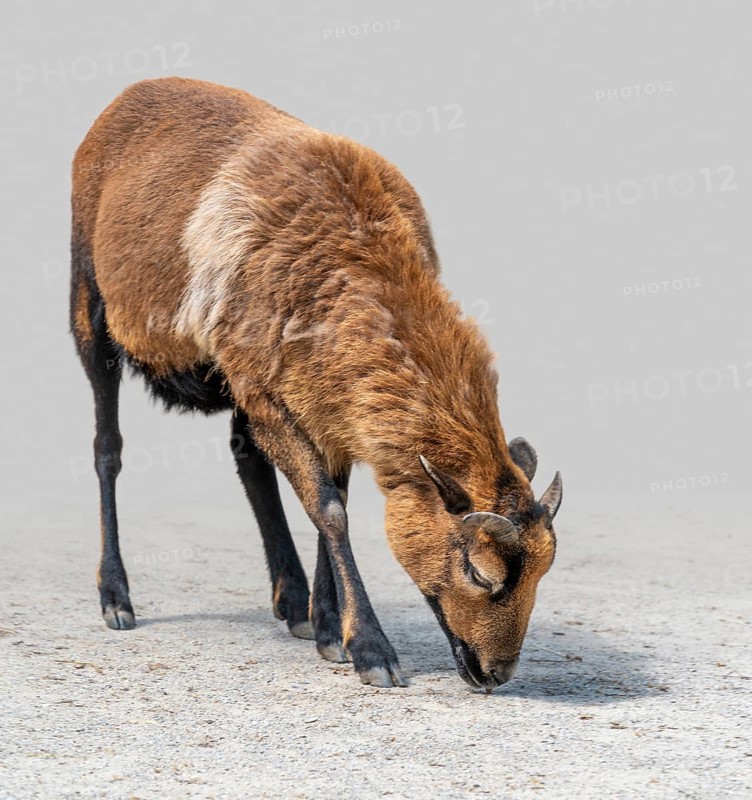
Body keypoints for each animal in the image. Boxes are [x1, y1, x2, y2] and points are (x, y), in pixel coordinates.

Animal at [70, 78, 563, 690]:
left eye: (544, 570)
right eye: (478, 569)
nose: (496, 674)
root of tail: (133, 91)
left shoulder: (330, 401)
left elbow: (332, 496)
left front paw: (330, 628)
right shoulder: (268, 390)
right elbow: (330, 510)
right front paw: (371, 651)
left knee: (248, 460)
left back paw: (293, 601)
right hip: (90, 305)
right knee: (107, 447)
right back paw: (116, 599)